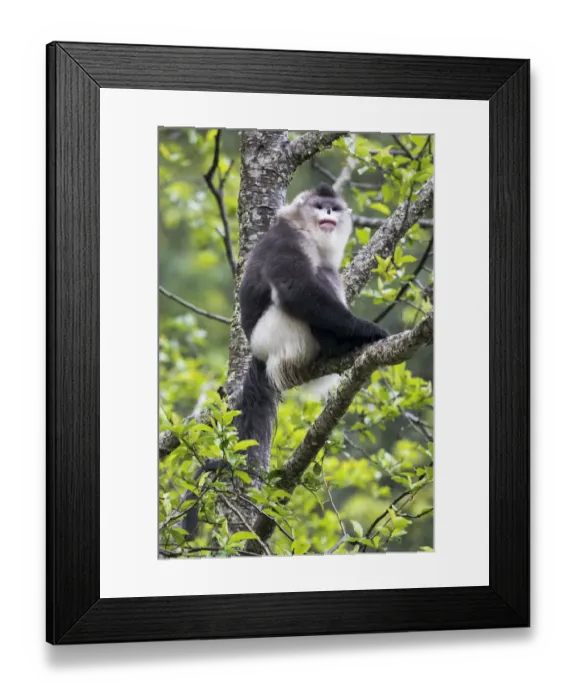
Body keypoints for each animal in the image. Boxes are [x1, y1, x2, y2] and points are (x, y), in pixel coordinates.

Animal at [180, 183, 388, 536]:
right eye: (319, 205)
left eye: (333, 207)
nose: (328, 213)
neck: (305, 230)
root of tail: (259, 355)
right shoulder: (286, 241)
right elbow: (296, 288)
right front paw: (369, 330)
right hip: (281, 335)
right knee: (307, 285)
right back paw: (337, 345)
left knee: (327, 273)